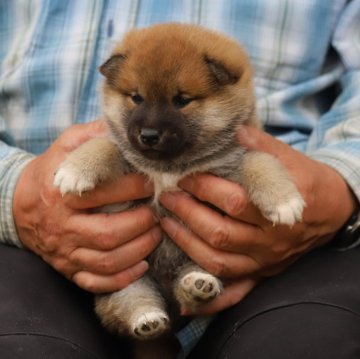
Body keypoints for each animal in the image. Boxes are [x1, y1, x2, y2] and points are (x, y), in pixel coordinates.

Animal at [54, 23, 304, 358]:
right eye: (136, 98)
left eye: (182, 100)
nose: (148, 135)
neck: (170, 166)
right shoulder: (126, 158)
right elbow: (103, 145)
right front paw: (74, 170)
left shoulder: (235, 160)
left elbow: (262, 162)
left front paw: (284, 201)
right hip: (126, 280)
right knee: (133, 304)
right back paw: (148, 319)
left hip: (207, 263)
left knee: (191, 294)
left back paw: (197, 287)